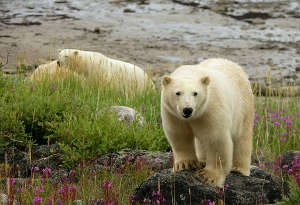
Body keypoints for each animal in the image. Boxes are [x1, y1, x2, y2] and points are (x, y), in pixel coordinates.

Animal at [161, 58, 254, 187]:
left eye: (195, 93)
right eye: (178, 93)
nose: (187, 109)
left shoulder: (211, 109)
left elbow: (215, 139)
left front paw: (208, 177)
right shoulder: (172, 114)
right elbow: (179, 134)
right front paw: (185, 164)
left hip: (243, 107)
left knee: (242, 137)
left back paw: (239, 168)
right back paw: (202, 159)